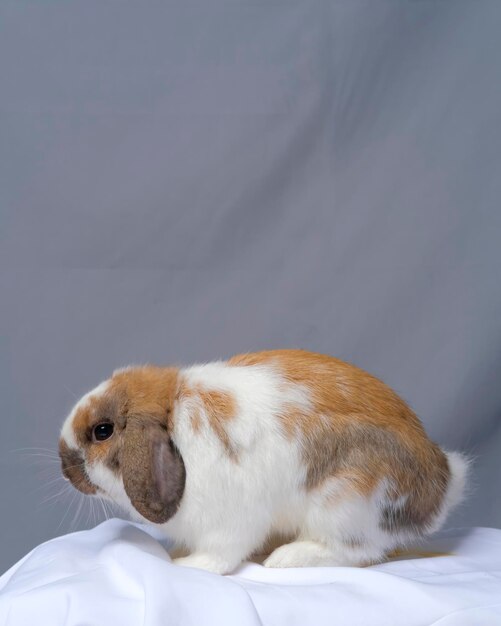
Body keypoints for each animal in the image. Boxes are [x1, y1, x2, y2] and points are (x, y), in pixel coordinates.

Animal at [59, 348, 468, 572]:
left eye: (102, 431)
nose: (64, 467)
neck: (173, 417)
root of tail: (441, 484)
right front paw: (178, 552)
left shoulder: (230, 520)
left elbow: (220, 555)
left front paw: (187, 564)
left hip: (345, 499)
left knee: (357, 550)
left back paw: (286, 558)